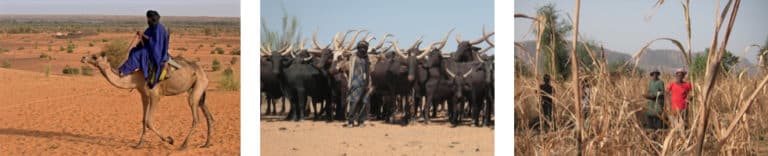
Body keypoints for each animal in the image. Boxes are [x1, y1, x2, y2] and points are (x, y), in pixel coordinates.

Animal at [81, 54, 214, 150]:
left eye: (95, 57)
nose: (83, 58)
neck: (136, 78)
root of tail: (203, 72)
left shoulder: (155, 95)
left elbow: (149, 121)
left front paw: (170, 140)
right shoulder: (143, 95)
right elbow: (144, 120)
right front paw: (139, 145)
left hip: (197, 86)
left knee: (195, 115)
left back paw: (183, 145)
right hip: (200, 89)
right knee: (208, 115)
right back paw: (206, 144)